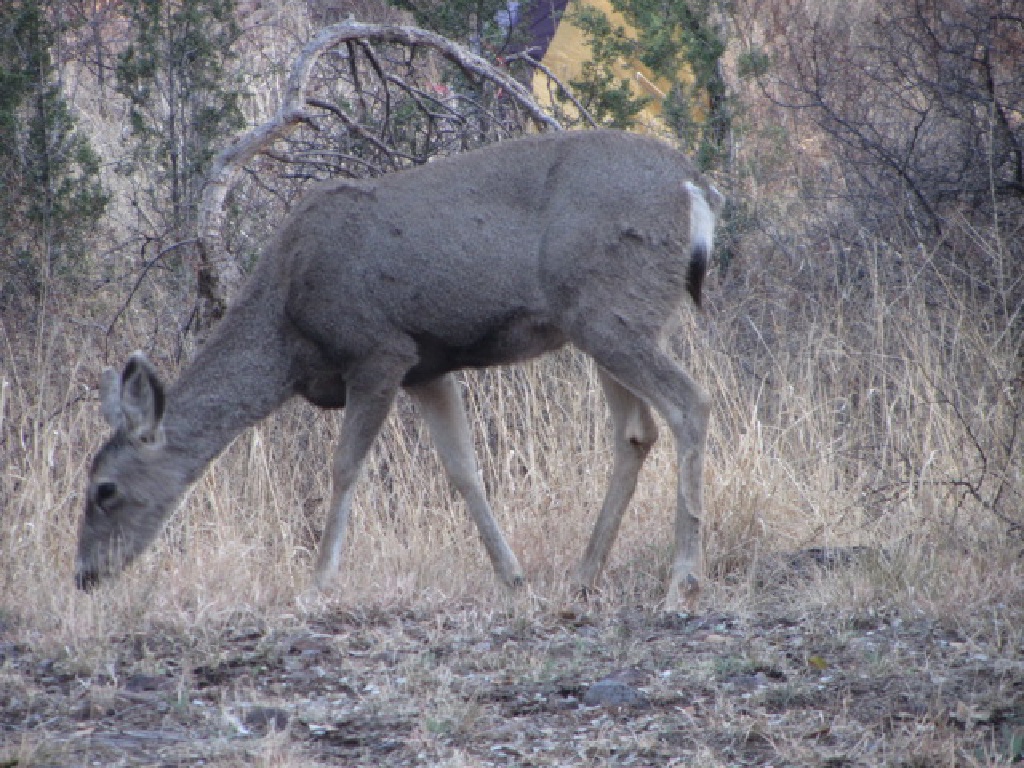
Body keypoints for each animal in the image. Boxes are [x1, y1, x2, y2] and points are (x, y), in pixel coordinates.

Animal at [75, 129, 725, 610]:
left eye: (105, 489)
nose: (84, 576)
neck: (286, 324)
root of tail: (693, 189)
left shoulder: (378, 350)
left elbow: (344, 468)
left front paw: (317, 584)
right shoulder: (425, 366)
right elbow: (463, 470)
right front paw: (512, 578)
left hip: (609, 312)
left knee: (689, 401)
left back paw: (683, 581)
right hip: (607, 320)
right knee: (635, 431)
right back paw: (585, 574)